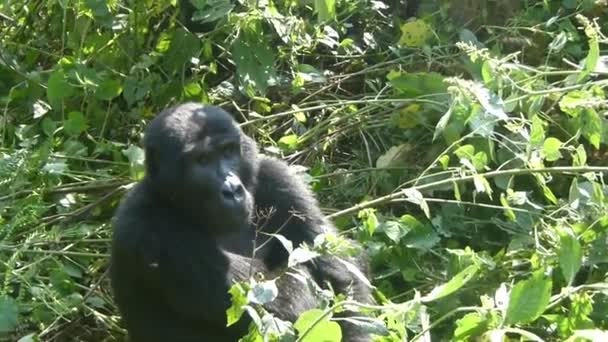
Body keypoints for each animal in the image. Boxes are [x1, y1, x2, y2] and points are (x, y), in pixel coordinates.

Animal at [111, 103, 372, 340]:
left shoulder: (276, 176)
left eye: (228, 152)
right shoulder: (146, 226)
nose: (232, 190)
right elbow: (271, 299)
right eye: (202, 160)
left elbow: (339, 270)